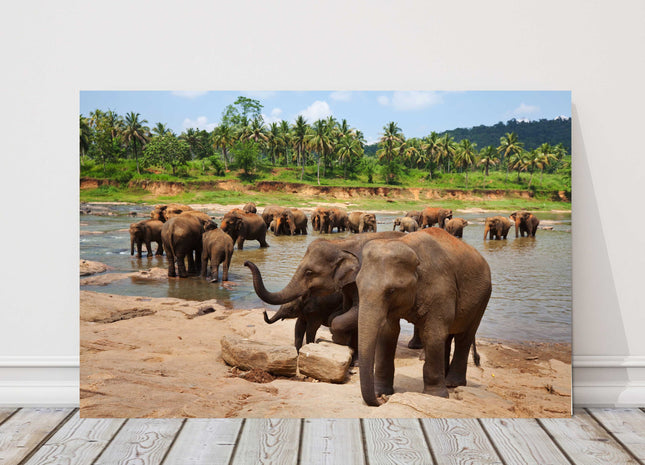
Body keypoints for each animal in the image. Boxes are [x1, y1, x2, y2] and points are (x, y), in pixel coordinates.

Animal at [244, 231, 406, 354]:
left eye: (309, 272)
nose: (246, 263)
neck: (341, 244)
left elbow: (313, 328)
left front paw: (309, 347)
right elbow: (299, 327)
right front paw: (298, 352)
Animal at [356, 228, 492, 406]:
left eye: (391, 291)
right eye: (357, 285)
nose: (381, 400)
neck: (408, 244)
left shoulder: (440, 289)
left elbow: (432, 333)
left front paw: (436, 396)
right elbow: (388, 332)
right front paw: (382, 391)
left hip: (483, 298)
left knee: (464, 336)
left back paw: (452, 383)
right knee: (448, 335)